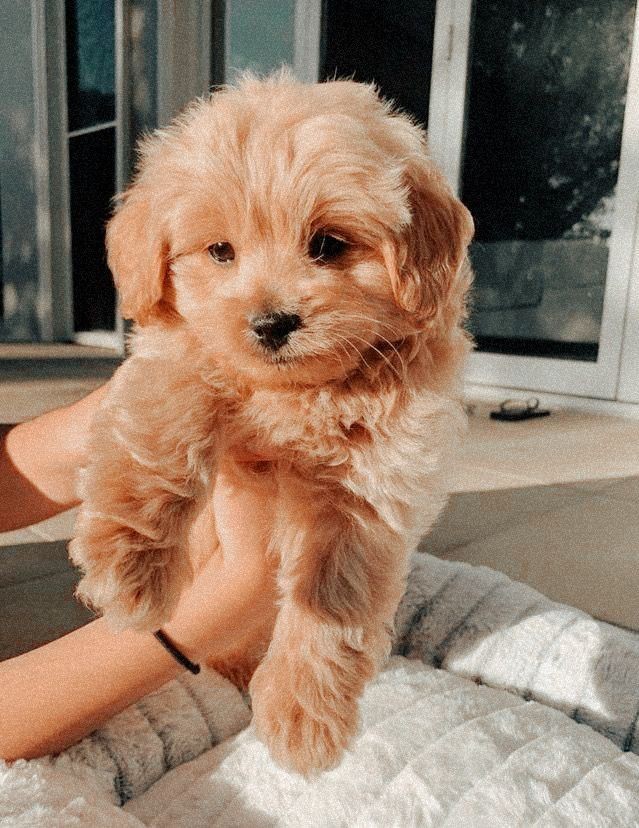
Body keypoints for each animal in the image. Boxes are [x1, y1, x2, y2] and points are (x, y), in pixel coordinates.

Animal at [69, 71, 474, 775]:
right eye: (220, 251)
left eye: (328, 245)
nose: (270, 324)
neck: (296, 395)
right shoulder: (177, 356)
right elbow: (161, 430)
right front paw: (130, 570)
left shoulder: (381, 474)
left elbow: (334, 589)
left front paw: (302, 715)